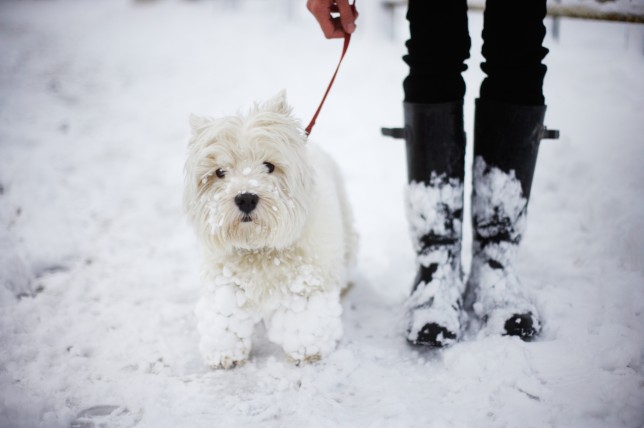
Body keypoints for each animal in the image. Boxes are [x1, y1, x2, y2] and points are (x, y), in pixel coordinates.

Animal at [184, 91, 360, 368]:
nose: (246, 198)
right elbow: (225, 317)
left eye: (268, 166)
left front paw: (307, 351)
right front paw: (224, 353)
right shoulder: (225, 280)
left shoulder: (304, 282)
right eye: (220, 172)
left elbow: (305, 319)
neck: (259, 248)